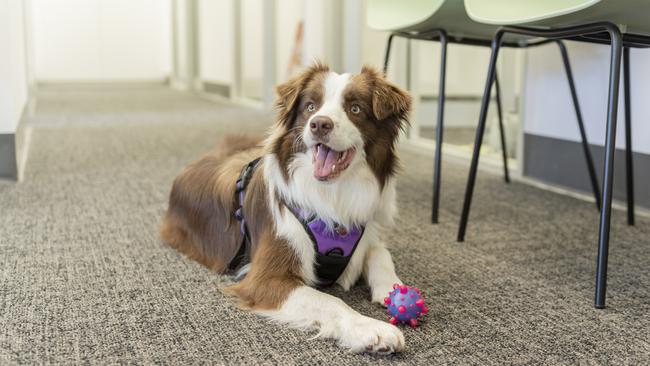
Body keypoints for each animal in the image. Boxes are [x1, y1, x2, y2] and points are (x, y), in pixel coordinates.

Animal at [159, 63, 410, 354]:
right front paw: (371, 329)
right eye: (311, 106)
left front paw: (393, 287)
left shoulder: (365, 228)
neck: (333, 195)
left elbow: (380, 252)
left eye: (355, 109)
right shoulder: (265, 277)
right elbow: (331, 301)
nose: (319, 124)